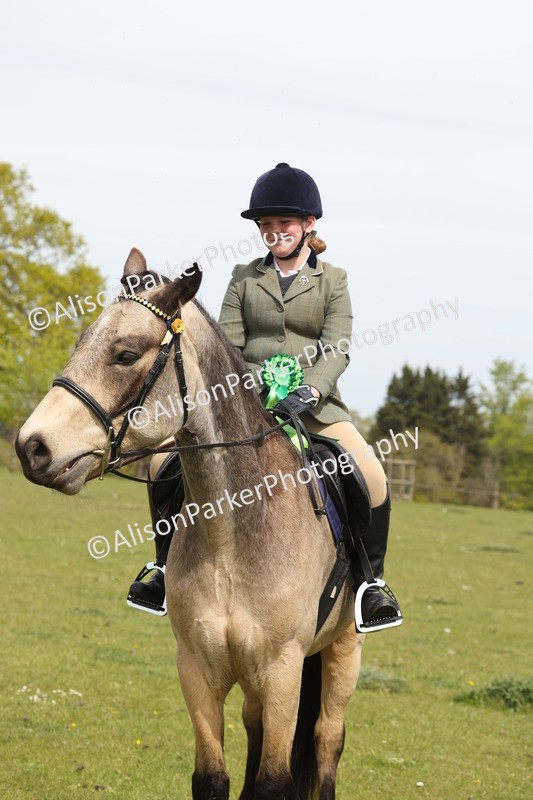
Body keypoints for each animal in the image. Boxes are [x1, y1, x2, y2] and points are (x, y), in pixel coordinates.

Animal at [16, 248, 365, 800]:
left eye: (126, 354)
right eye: (80, 343)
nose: (32, 447)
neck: (231, 534)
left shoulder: (283, 670)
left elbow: (275, 780)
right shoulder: (196, 667)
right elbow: (212, 777)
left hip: (342, 653)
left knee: (327, 741)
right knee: (255, 727)